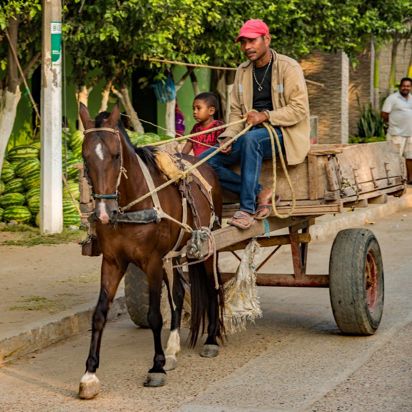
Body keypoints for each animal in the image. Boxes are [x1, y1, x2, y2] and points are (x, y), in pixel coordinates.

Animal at [77, 100, 225, 400]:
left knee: (213, 287)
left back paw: (211, 339)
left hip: (206, 246)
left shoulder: (153, 262)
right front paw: (90, 374)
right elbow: (99, 314)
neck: (131, 204)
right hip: (176, 253)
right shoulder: (113, 262)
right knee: (178, 294)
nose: (104, 213)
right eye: (86, 157)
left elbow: (155, 315)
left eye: (116, 156)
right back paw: (173, 349)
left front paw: (156, 368)